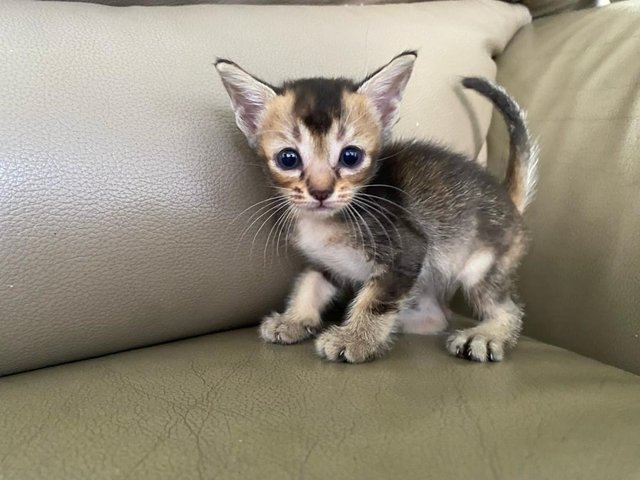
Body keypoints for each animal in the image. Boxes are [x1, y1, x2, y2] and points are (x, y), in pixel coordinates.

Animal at [215, 50, 536, 362]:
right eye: (288, 159)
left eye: (351, 156)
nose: (321, 192)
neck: (328, 222)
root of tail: (507, 197)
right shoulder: (328, 262)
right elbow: (309, 282)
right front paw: (294, 319)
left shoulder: (407, 250)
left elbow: (375, 301)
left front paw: (354, 340)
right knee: (438, 317)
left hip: (483, 265)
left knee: (508, 309)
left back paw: (485, 335)